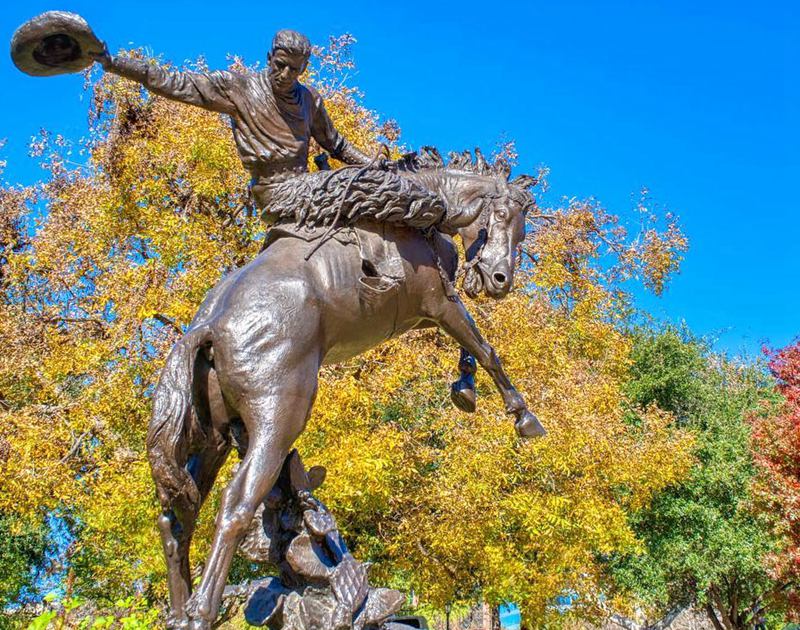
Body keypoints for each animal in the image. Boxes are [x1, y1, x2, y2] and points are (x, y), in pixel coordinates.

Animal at [147, 147, 548, 628]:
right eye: (502, 215)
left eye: (523, 230)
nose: (501, 280)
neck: (420, 211)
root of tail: (207, 327)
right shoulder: (436, 301)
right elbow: (485, 347)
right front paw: (523, 415)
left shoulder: (424, 312)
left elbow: (468, 346)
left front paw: (465, 388)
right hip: (277, 420)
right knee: (235, 506)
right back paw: (200, 612)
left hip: (214, 438)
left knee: (178, 519)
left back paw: (178, 610)